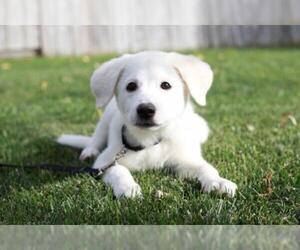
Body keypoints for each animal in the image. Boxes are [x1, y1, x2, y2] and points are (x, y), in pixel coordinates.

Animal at [58, 50, 237, 198]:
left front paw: (218, 181)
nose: (146, 110)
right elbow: (118, 170)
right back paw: (89, 151)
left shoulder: (185, 159)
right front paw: (127, 187)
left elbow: (206, 167)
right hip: (105, 119)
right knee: (96, 138)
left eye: (166, 85)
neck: (150, 138)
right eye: (131, 86)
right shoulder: (106, 161)